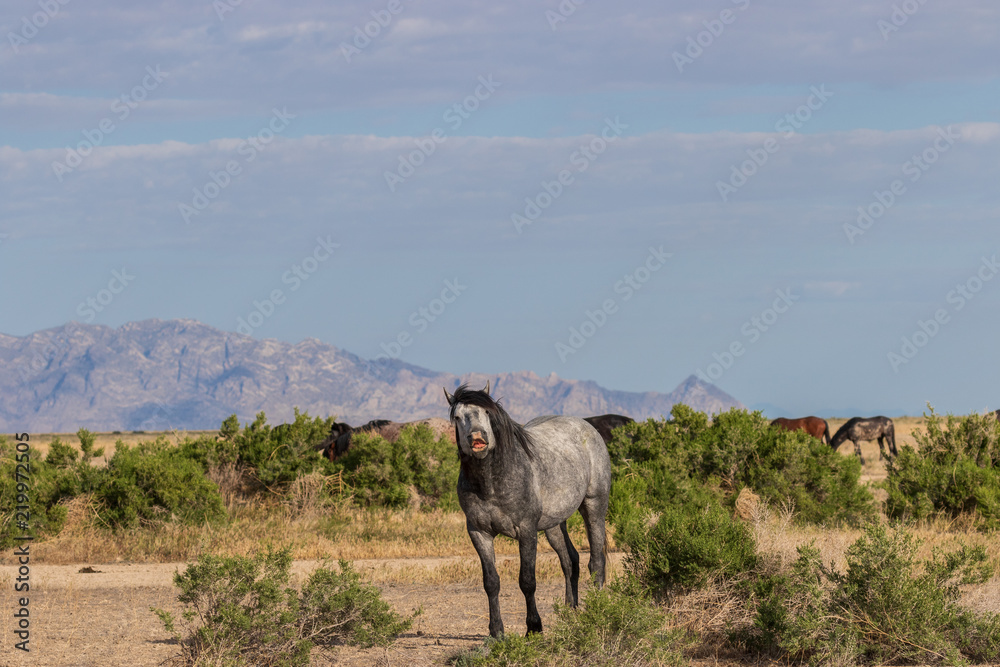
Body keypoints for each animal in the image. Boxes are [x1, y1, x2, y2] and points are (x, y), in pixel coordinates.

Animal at [445, 382, 611, 638]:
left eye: (486, 412)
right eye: (457, 417)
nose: (478, 439)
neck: (492, 482)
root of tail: (586, 426)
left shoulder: (526, 531)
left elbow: (527, 581)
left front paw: (534, 628)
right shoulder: (479, 533)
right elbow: (491, 582)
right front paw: (496, 631)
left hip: (593, 508)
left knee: (596, 562)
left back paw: (597, 609)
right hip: (554, 525)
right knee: (570, 560)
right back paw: (570, 612)